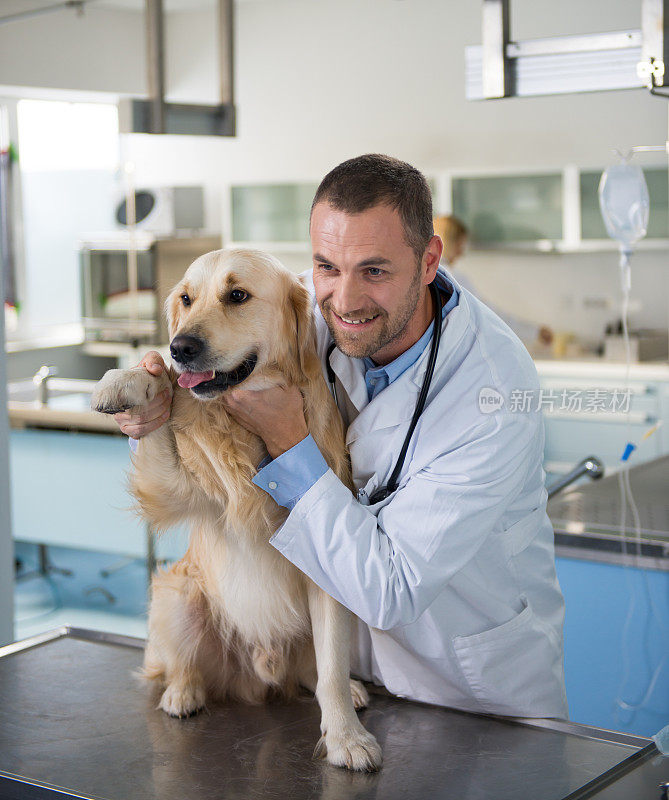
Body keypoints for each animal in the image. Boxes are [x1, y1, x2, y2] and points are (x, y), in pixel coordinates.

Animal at [91, 247, 380, 772]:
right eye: (186, 299)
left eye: (238, 295)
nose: (180, 346)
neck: (247, 434)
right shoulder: (176, 490)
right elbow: (164, 391)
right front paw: (127, 380)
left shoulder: (328, 573)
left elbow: (330, 667)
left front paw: (347, 737)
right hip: (177, 592)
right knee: (181, 664)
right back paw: (182, 693)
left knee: (317, 671)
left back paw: (347, 689)